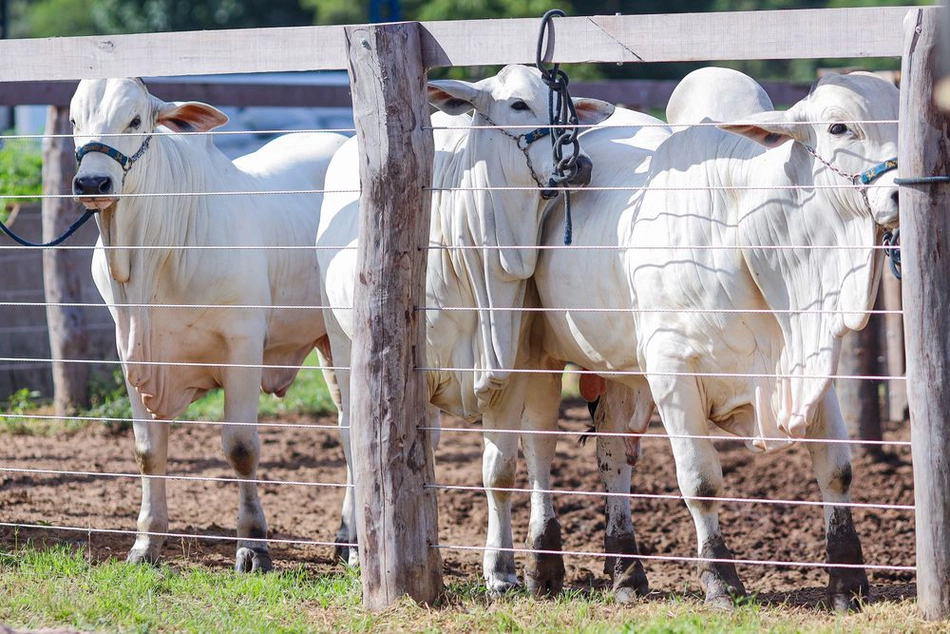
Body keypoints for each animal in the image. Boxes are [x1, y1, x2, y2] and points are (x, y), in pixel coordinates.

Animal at [69, 76, 350, 572]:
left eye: (135, 119)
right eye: (73, 121)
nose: (92, 182)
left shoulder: (243, 346)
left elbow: (240, 448)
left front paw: (254, 546)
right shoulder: (131, 353)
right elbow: (148, 451)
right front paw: (146, 543)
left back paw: (353, 541)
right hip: (326, 344)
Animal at [318, 64, 616, 592]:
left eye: (569, 109)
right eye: (518, 105)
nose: (577, 164)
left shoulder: (512, 370)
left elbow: (499, 472)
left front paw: (501, 570)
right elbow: (398, 457)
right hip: (341, 344)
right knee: (354, 442)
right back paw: (355, 545)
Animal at [528, 70, 900, 608]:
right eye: (838, 127)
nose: (901, 192)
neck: (745, 234)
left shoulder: (810, 364)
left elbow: (837, 469)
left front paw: (847, 581)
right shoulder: (671, 370)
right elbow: (701, 481)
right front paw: (720, 581)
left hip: (618, 370)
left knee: (613, 454)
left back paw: (626, 572)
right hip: (537, 356)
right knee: (537, 450)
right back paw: (542, 567)